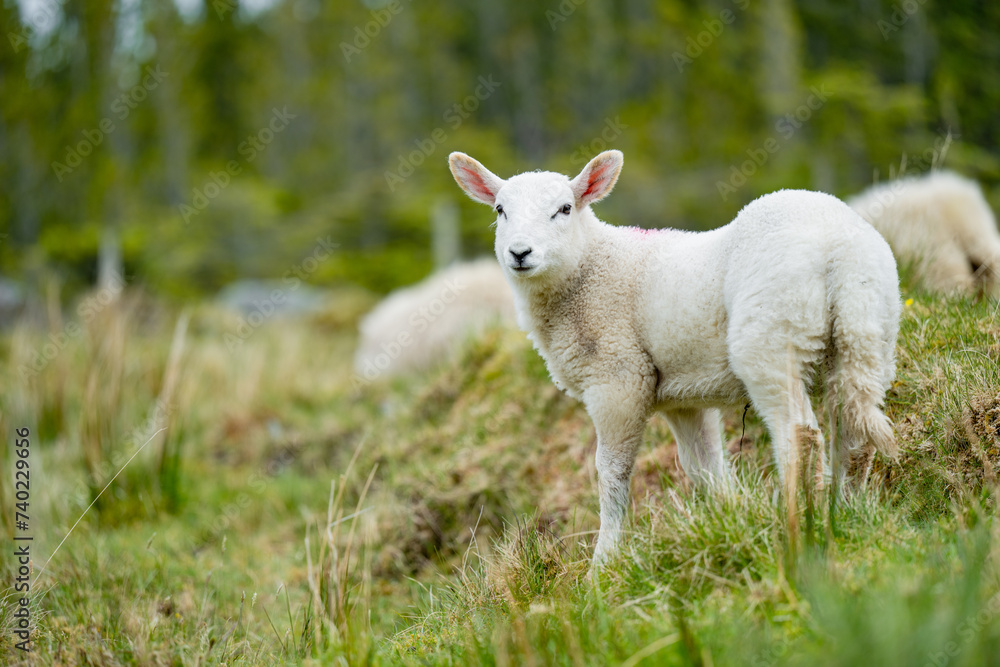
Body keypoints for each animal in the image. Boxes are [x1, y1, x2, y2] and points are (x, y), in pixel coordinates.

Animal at [449, 149, 901, 565]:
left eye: (564, 209)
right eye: (500, 210)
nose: (520, 253)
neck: (588, 271)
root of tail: (841, 251)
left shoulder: (618, 380)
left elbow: (611, 472)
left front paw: (603, 564)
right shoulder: (682, 397)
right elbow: (703, 466)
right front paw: (729, 517)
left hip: (772, 340)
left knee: (800, 434)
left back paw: (798, 525)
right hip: (868, 338)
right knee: (856, 432)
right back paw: (845, 514)